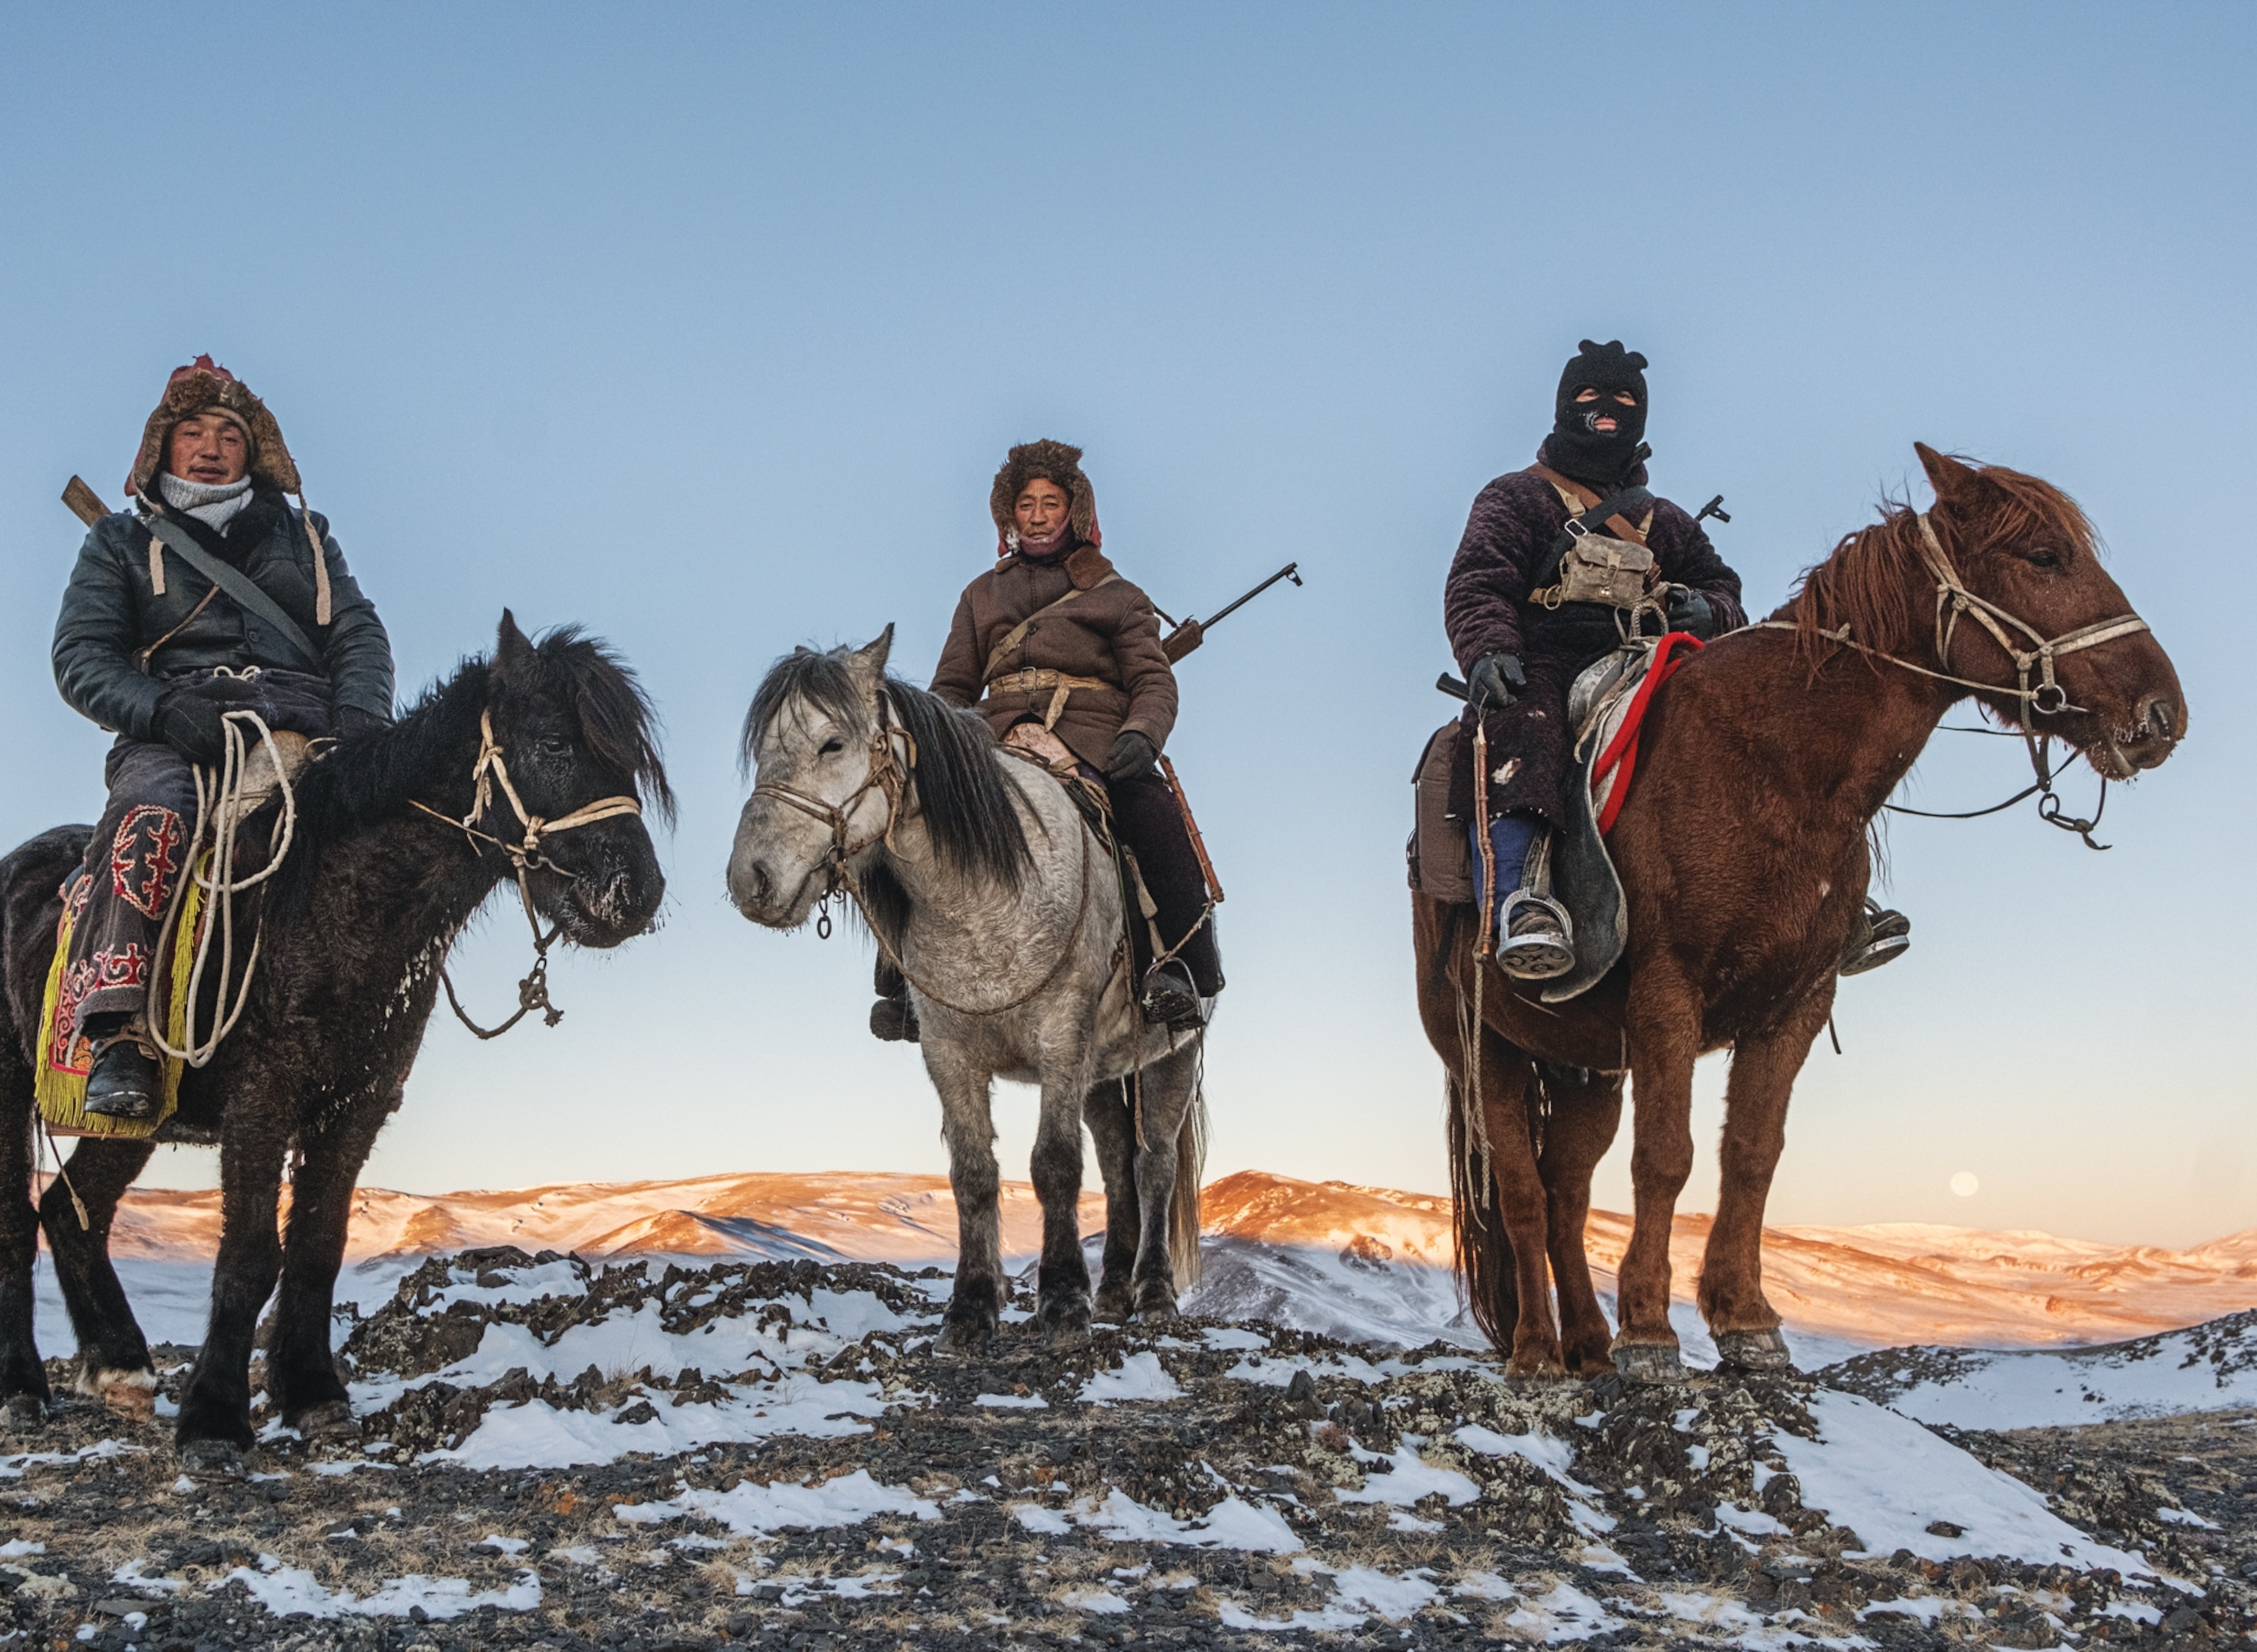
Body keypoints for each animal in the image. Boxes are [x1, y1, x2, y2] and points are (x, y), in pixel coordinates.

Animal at [0, 613, 671, 1468]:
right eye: (555, 743)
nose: (636, 893)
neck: (334, 902)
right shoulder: (263, 1098)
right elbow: (251, 1253)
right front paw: (215, 1419)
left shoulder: (357, 1102)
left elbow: (320, 1243)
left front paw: (313, 1394)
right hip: (9, 1088)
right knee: (17, 1221)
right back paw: (24, 1386)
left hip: (137, 1111)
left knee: (70, 1208)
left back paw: (119, 1364)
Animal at [727, 628, 1205, 1354]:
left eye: (832, 743)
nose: (749, 879)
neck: (981, 896)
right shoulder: (949, 1050)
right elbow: (973, 1172)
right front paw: (971, 1307)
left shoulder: (1061, 1038)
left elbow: (1054, 1164)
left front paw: (1062, 1302)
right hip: (1102, 1074)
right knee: (1118, 1164)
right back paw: (1115, 1293)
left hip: (1172, 1053)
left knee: (1153, 1167)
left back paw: (1151, 1293)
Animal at [1417, 445, 2186, 1380]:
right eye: (2044, 556)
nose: (2163, 712)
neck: (1775, 766)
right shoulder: (1668, 995)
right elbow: (1666, 1155)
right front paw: (1652, 1328)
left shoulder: (1796, 1003)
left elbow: (1752, 1155)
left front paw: (1744, 1320)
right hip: (1486, 1049)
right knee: (1524, 1194)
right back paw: (1537, 1349)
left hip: (1583, 1066)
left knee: (1566, 1193)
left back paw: (1588, 1346)